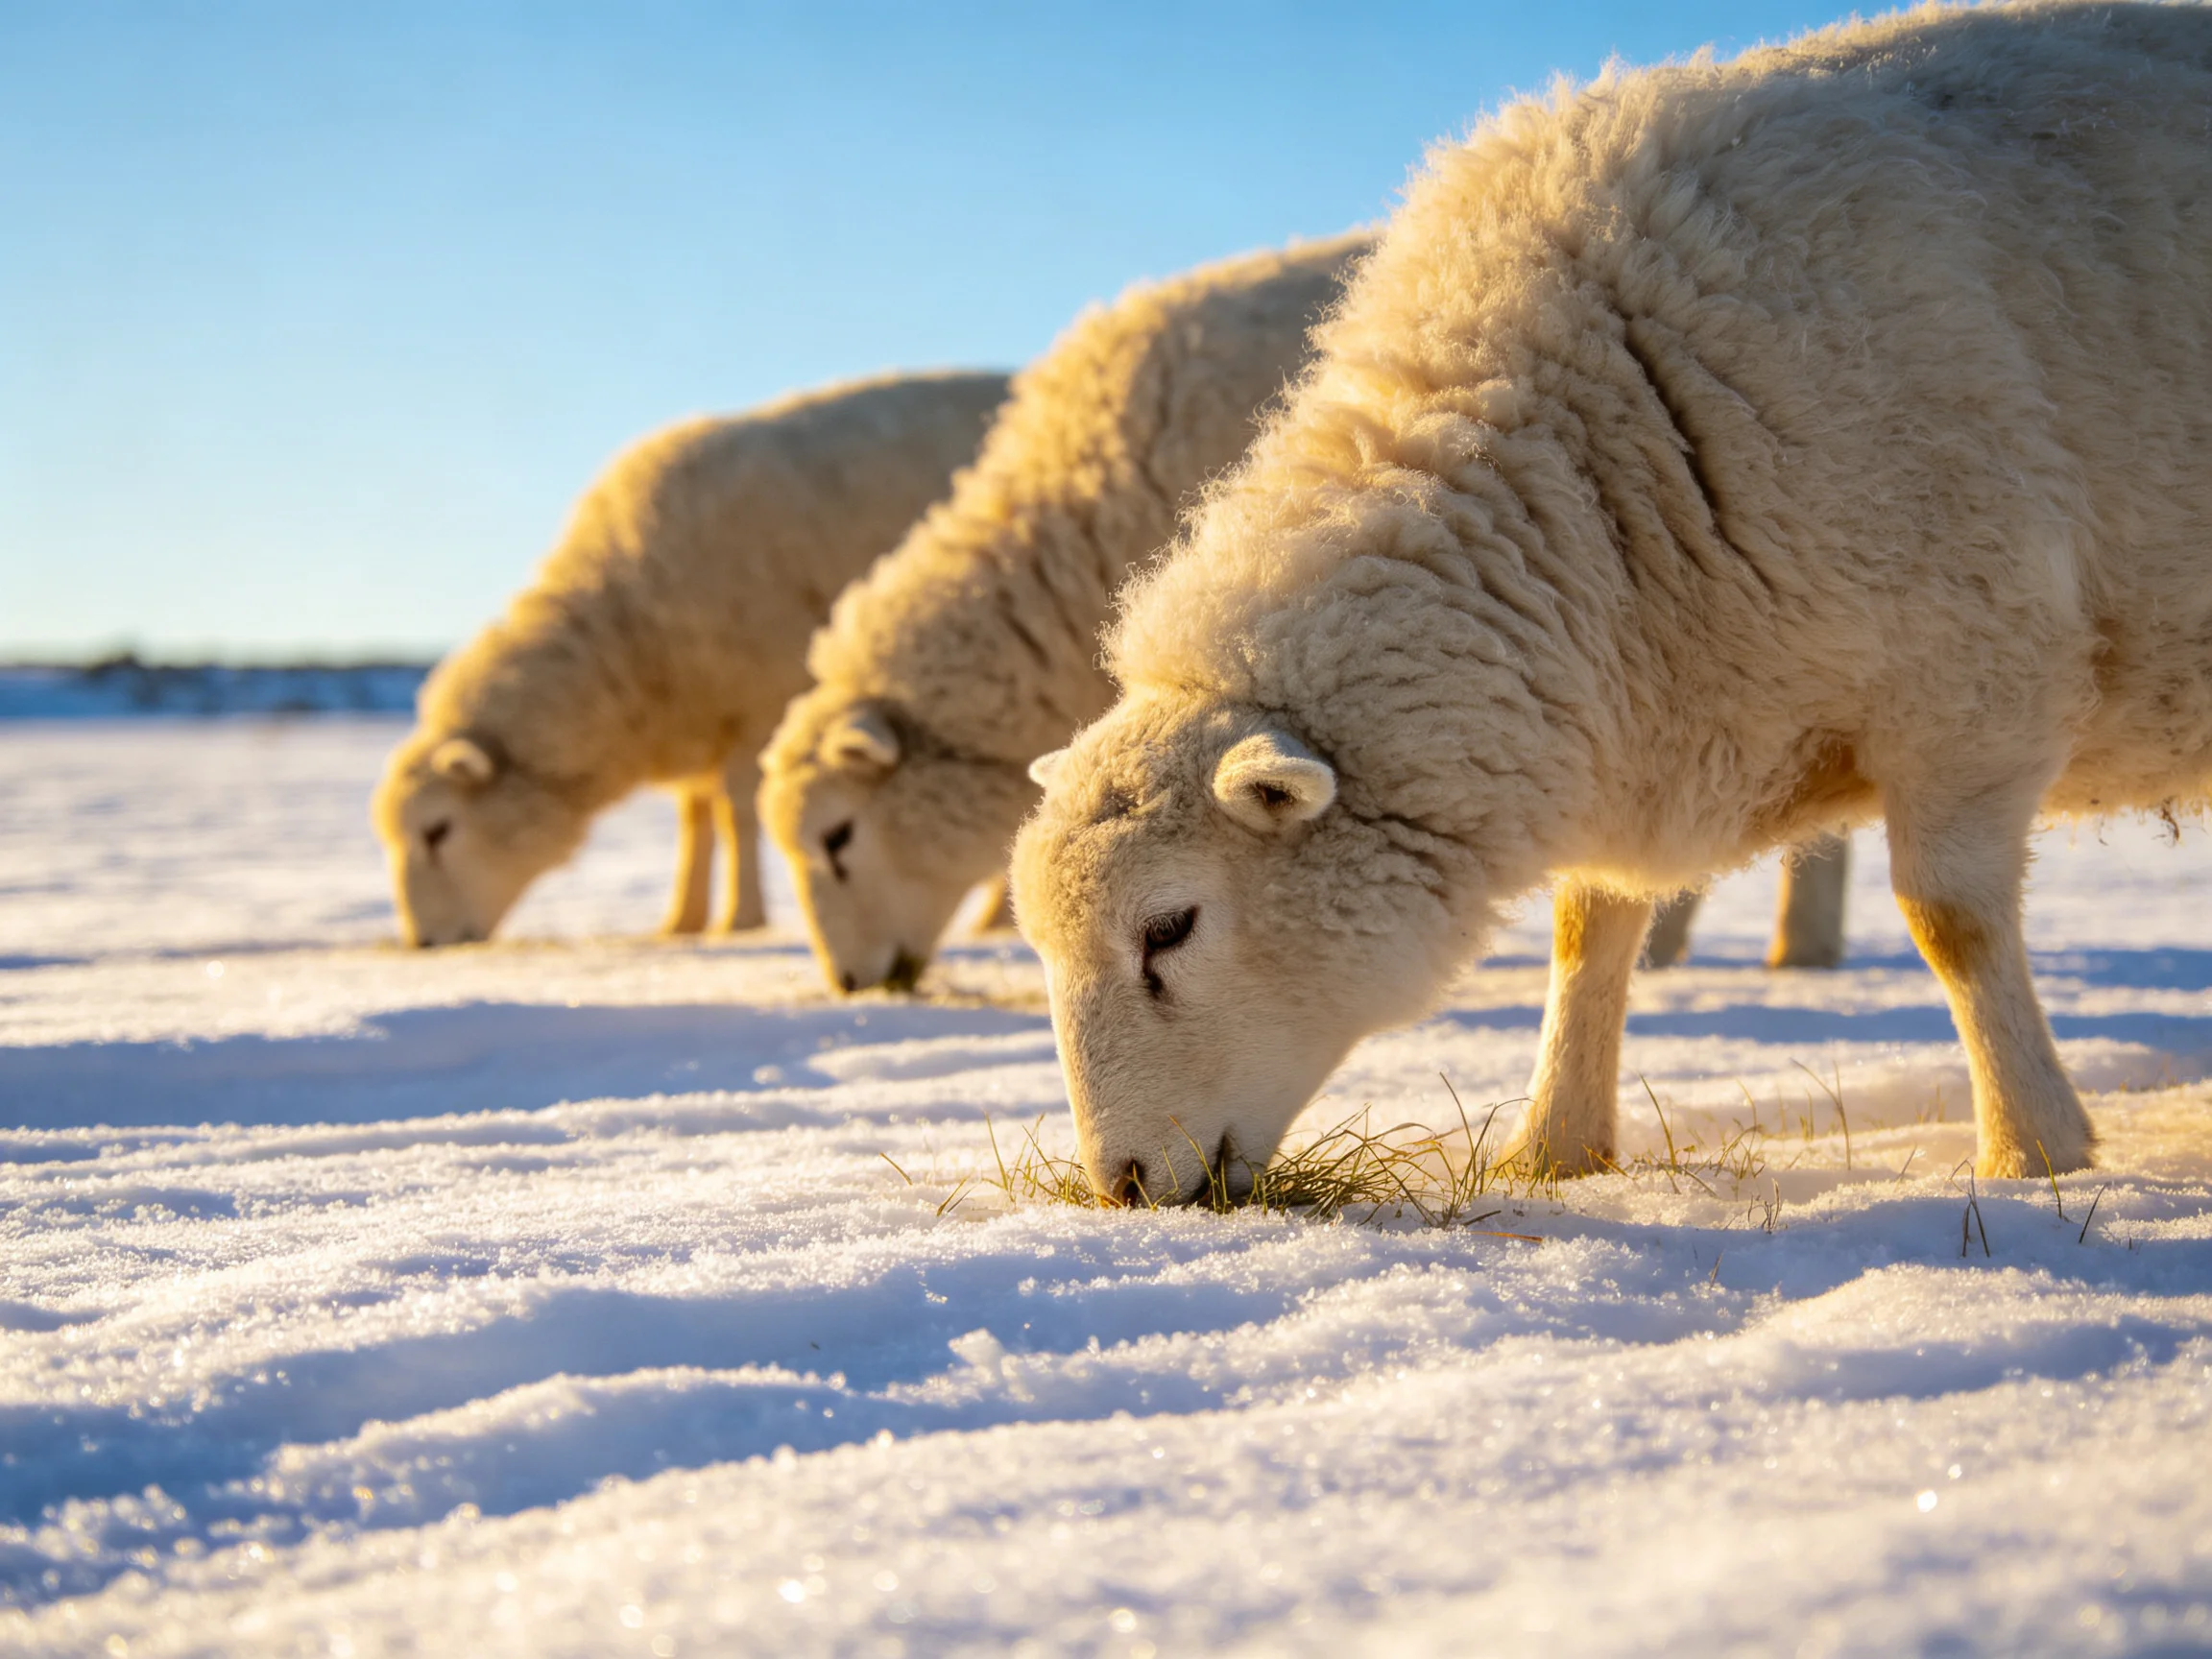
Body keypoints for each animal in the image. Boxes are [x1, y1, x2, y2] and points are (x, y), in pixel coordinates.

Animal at [371, 371, 1008, 946]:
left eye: (437, 831)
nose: (422, 943)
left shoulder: (757, 704)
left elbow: (737, 813)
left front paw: (740, 918)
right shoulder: (695, 714)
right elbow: (695, 819)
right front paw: (683, 919)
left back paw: (995, 918)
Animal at [1010, 1, 2212, 1200]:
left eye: (1170, 927)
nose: (1119, 1185)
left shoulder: (1973, 683)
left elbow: (1951, 922)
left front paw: (2032, 1150)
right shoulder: (1630, 710)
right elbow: (1588, 930)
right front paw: (1554, 1147)